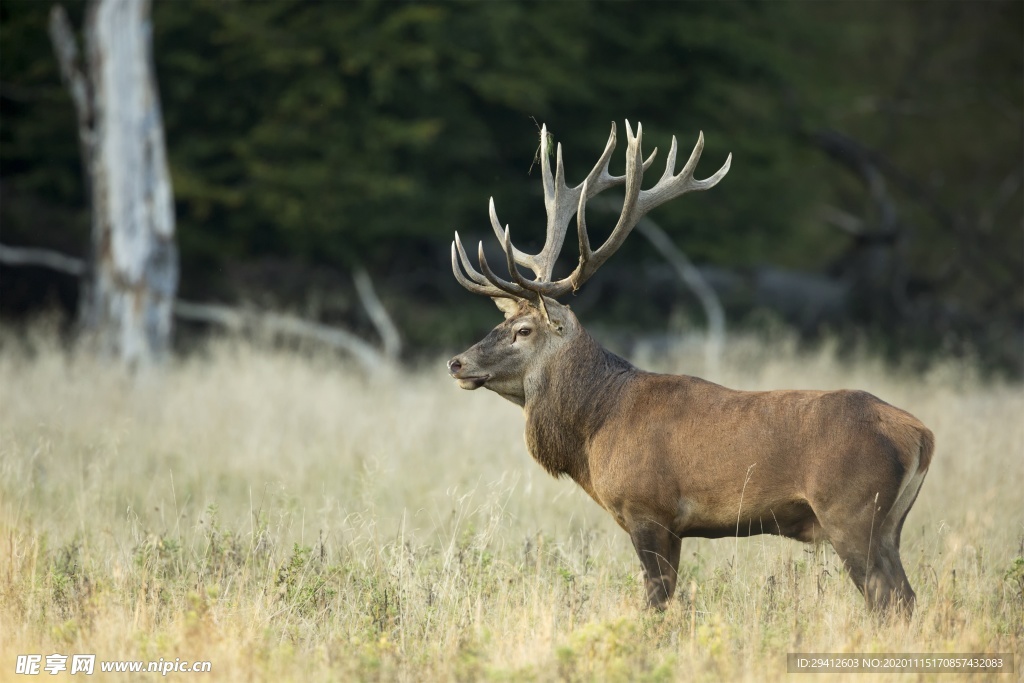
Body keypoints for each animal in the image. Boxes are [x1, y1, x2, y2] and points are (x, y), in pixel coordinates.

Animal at [444, 120, 933, 618]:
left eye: (523, 330)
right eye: (501, 322)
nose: (457, 362)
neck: (596, 425)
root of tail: (921, 435)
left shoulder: (648, 509)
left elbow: (657, 602)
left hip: (851, 512)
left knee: (889, 600)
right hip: (888, 524)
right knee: (907, 598)